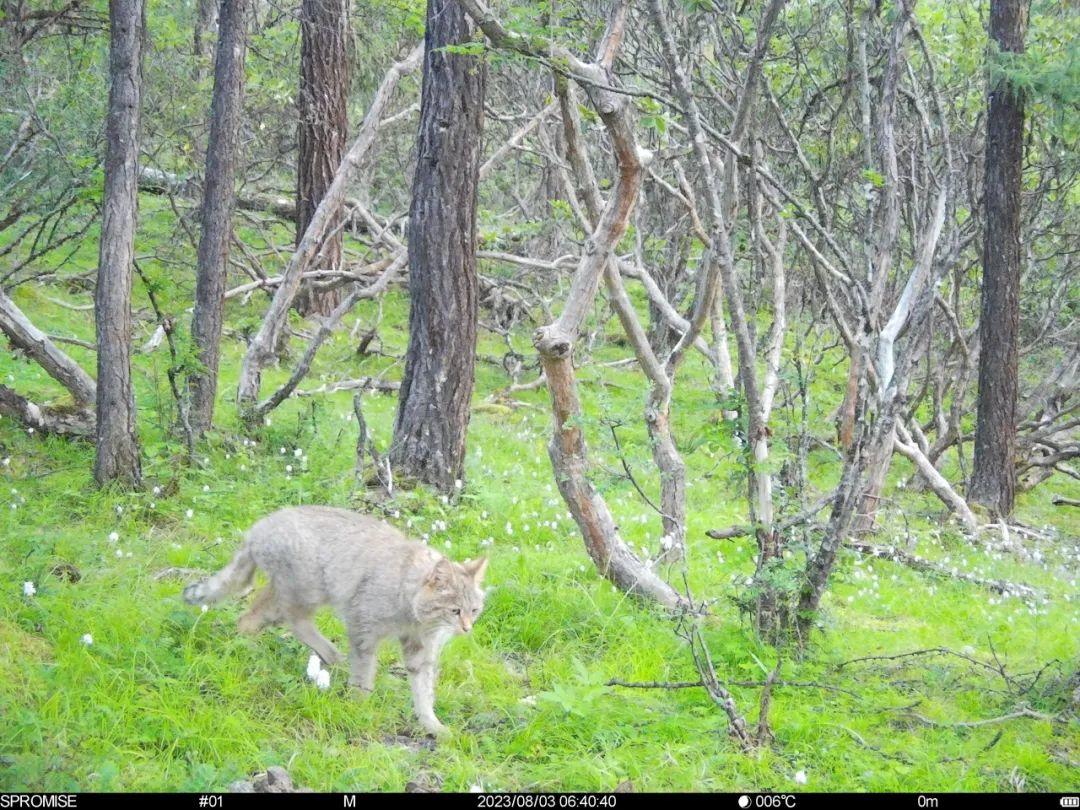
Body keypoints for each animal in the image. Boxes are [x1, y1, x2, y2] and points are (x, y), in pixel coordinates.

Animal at [183, 507, 488, 734]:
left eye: (474, 610)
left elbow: (423, 690)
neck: (413, 612)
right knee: (268, 616)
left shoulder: (420, 650)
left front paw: (431, 724)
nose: (467, 629)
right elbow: (364, 673)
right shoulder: (363, 627)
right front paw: (359, 705)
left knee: (269, 615)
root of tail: (258, 526)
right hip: (306, 590)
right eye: (454, 611)